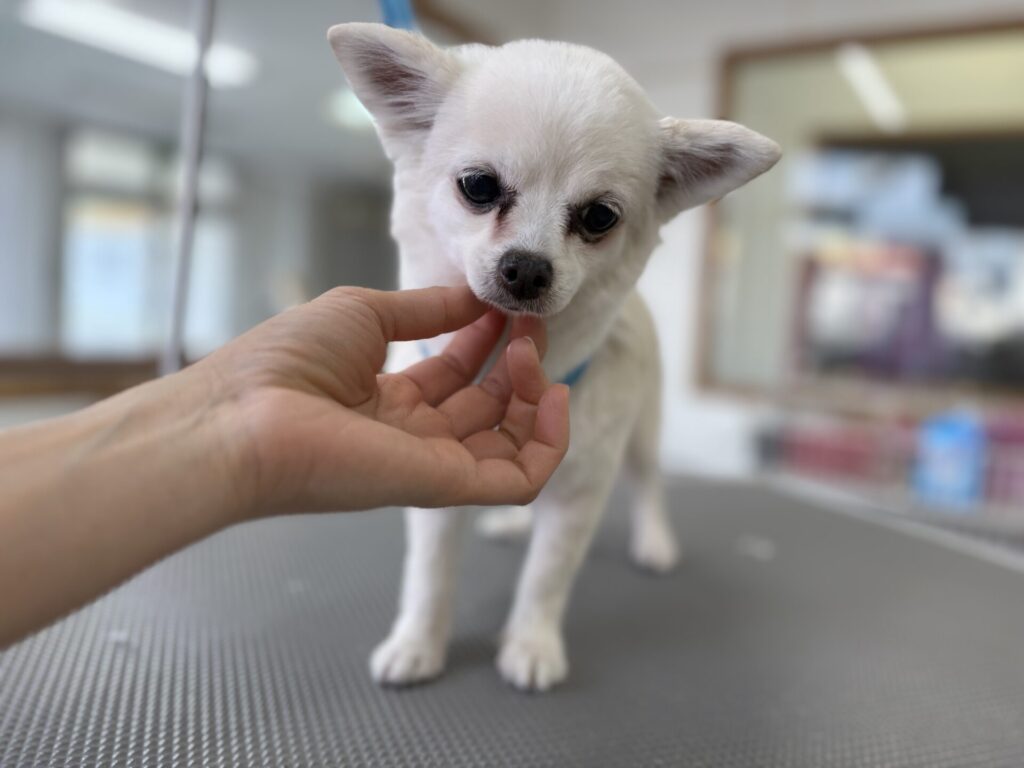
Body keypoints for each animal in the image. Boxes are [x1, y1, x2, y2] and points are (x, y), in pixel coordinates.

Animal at [328, 22, 780, 691]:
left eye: (599, 216)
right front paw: (417, 643)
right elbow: (430, 574)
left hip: (642, 431)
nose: (527, 266)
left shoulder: (578, 497)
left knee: (649, 484)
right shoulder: (438, 492)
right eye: (479, 187)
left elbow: (547, 576)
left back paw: (655, 541)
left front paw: (531, 644)